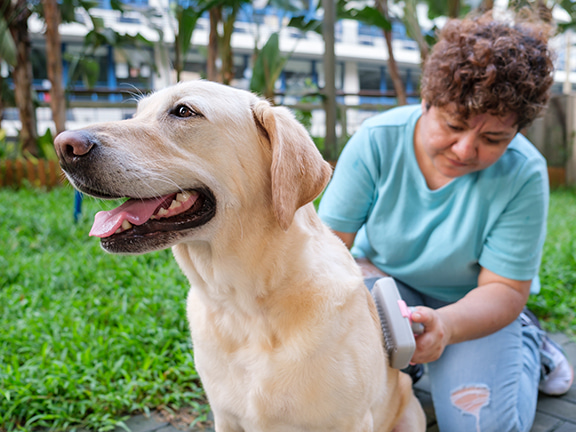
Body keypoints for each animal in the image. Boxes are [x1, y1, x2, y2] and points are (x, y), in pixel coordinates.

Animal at [54, 79, 426, 430]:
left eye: (184, 111)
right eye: (136, 113)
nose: (64, 146)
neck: (242, 305)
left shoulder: (352, 421)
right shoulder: (225, 416)